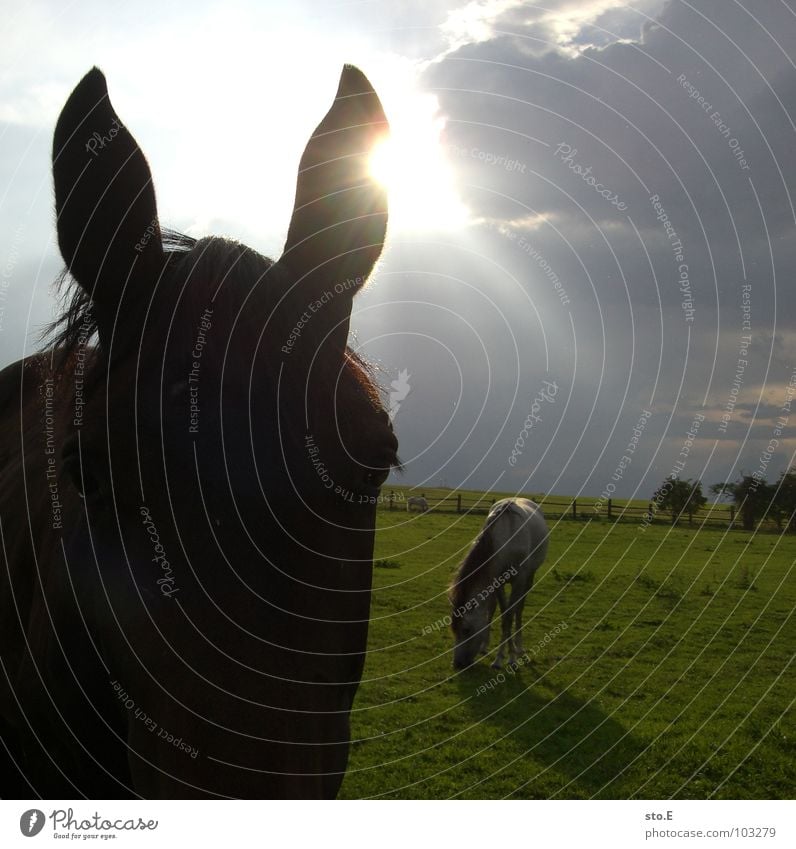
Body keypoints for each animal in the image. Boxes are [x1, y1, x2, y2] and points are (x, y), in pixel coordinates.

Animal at [450, 496, 552, 668]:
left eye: (466, 630)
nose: (458, 663)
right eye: (454, 628)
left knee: (519, 608)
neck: (507, 537)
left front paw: (509, 658)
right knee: (493, 607)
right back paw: (485, 645)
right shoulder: (496, 580)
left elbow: (510, 615)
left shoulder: (520, 579)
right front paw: (500, 656)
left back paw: (519, 647)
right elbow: (503, 614)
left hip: (529, 577)